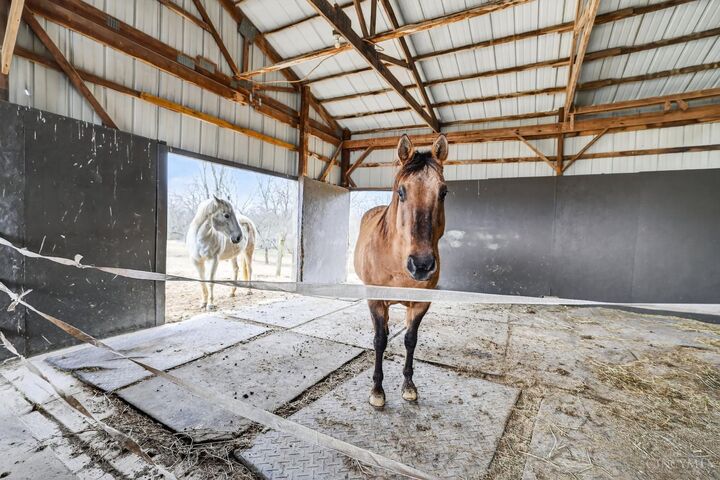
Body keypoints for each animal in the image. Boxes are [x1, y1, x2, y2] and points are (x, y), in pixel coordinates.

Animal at [354, 134, 449, 408]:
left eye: (443, 192)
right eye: (401, 191)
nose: (422, 265)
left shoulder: (421, 303)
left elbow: (410, 340)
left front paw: (409, 385)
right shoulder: (375, 299)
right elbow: (379, 341)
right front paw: (377, 390)